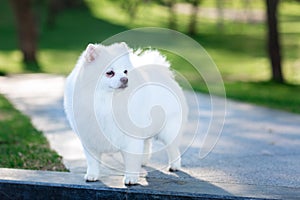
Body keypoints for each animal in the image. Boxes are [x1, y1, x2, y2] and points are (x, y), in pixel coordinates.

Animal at [64, 42, 186, 186]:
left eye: (125, 71)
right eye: (110, 73)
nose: (125, 79)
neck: (108, 102)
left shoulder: (131, 138)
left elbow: (131, 160)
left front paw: (131, 178)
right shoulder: (90, 138)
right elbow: (92, 161)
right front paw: (92, 175)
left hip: (168, 130)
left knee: (173, 148)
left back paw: (174, 166)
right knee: (147, 143)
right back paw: (143, 161)